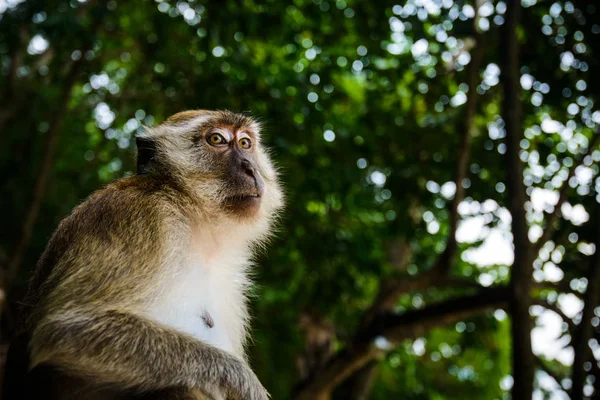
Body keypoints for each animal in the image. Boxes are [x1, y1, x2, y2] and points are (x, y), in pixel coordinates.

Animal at [2, 109, 284, 400]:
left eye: (245, 143)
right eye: (217, 139)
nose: (250, 168)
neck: (195, 220)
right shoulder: (139, 216)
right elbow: (65, 330)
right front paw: (245, 382)